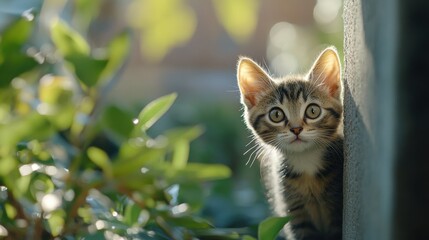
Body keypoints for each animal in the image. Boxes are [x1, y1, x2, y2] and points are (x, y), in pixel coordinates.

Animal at [236, 47, 342, 240]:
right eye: (276, 114)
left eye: (313, 111)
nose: (296, 129)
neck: (306, 162)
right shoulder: (294, 213)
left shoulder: (336, 208)